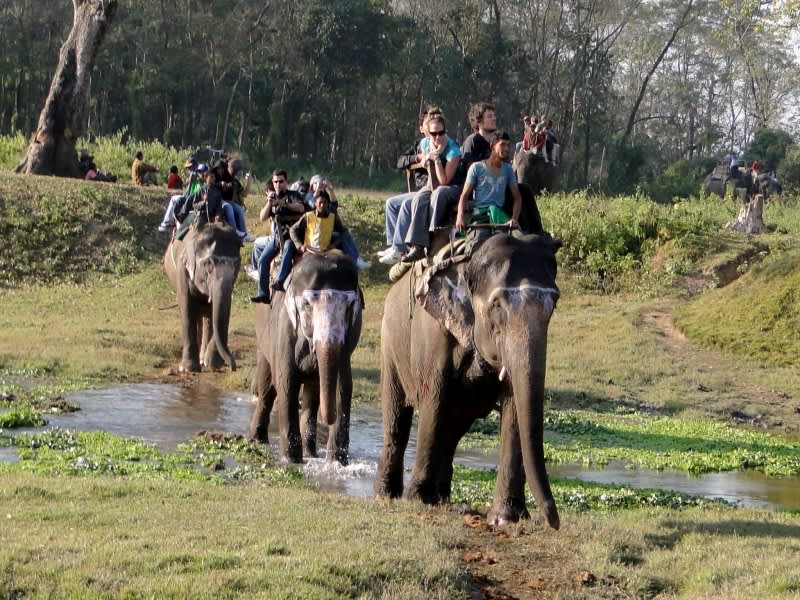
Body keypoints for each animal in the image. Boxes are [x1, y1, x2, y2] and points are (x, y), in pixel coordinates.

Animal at [161, 221, 239, 370]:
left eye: (236, 266)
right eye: (208, 264)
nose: (233, 367)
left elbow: (222, 313)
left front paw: (213, 364)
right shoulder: (182, 271)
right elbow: (187, 310)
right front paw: (188, 368)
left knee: (207, 317)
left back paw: (203, 359)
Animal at [248, 248, 364, 464]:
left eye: (350, 307)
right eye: (307, 305)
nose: (328, 418)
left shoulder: (347, 342)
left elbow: (344, 385)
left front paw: (336, 462)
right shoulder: (285, 328)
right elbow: (287, 382)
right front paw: (291, 460)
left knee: (312, 395)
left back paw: (311, 453)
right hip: (263, 336)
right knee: (268, 387)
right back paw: (257, 440)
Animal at [376, 231, 564, 528]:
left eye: (553, 304)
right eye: (496, 305)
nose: (554, 522)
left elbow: (513, 409)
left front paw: (507, 518)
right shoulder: (435, 331)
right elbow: (434, 400)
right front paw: (416, 500)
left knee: (454, 428)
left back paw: (441, 498)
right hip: (390, 343)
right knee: (398, 418)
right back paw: (387, 495)